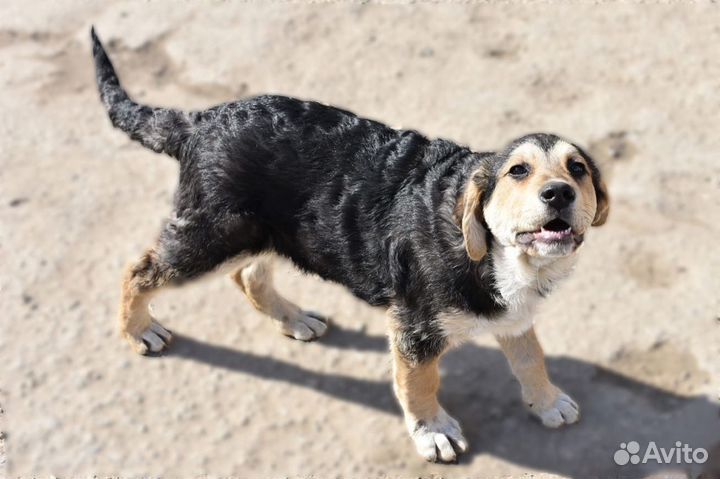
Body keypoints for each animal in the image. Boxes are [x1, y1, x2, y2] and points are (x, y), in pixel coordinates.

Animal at [90, 28, 608, 464]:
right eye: (518, 171)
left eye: (577, 168)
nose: (558, 193)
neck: (496, 253)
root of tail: (200, 120)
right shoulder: (414, 328)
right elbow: (420, 383)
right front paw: (433, 431)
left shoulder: (512, 313)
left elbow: (530, 357)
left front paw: (547, 401)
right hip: (211, 235)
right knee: (140, 270)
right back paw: (139, 330)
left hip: (263, 233)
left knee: (249, 274)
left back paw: (293, 317)